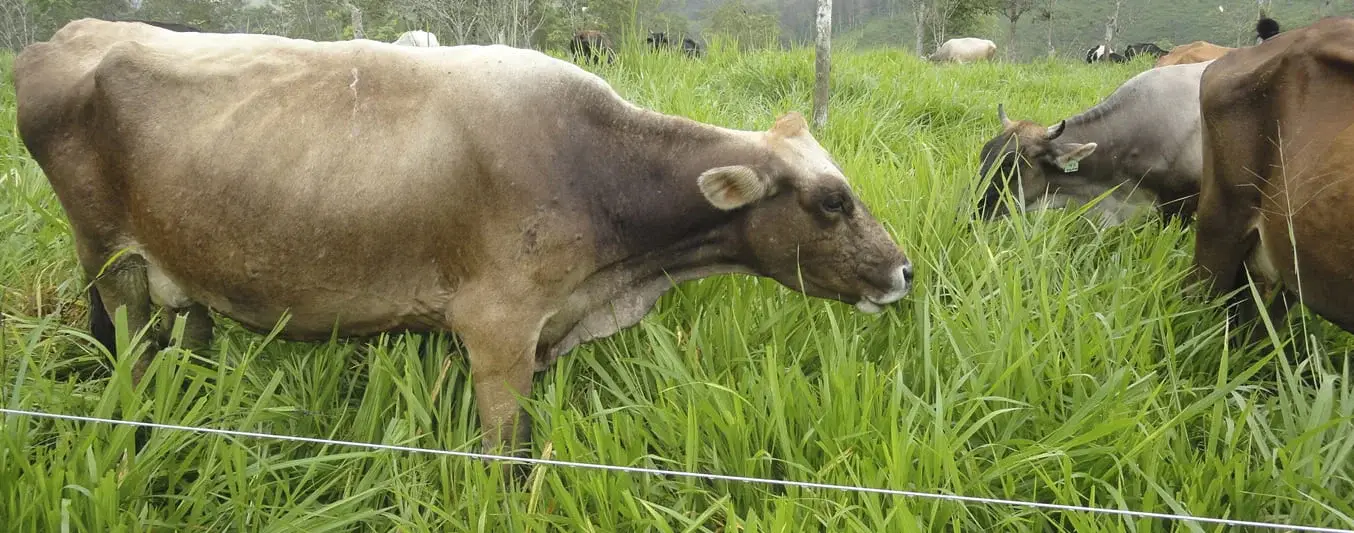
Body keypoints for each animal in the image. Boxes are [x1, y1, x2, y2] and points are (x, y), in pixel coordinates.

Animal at [15, 19, 915, 454]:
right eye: (832, 200)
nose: (903, 270)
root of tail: (63, 38)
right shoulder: (498, 330)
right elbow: (507, 457)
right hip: (114, 267)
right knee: (133, 362)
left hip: (188, 271)